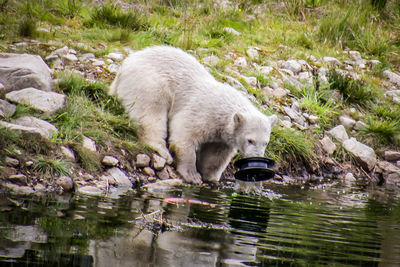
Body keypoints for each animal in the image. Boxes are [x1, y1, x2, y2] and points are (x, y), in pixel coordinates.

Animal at [109, 46, 278, 185]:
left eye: (265, 143)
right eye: (250, 140)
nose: (257, 160)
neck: (224, 109)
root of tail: (124, 67)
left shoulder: (222, 135)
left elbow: (216, 154)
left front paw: (211, 177)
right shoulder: (204, 111)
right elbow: (184, 135)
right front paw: (192, 175)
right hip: (149, 82)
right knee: (150, 111)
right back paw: (162, 150)